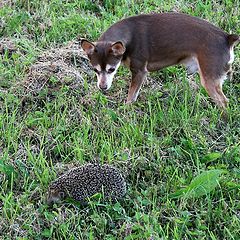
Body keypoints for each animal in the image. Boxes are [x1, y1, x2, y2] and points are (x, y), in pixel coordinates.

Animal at [80, 12, 238, 108]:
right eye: (95, 70)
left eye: (111, 69)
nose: (102, 87)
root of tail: (227, 38)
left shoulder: (139, 72)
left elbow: (131, 95)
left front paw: (125, 109)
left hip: (208, 80)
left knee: (224, 102)